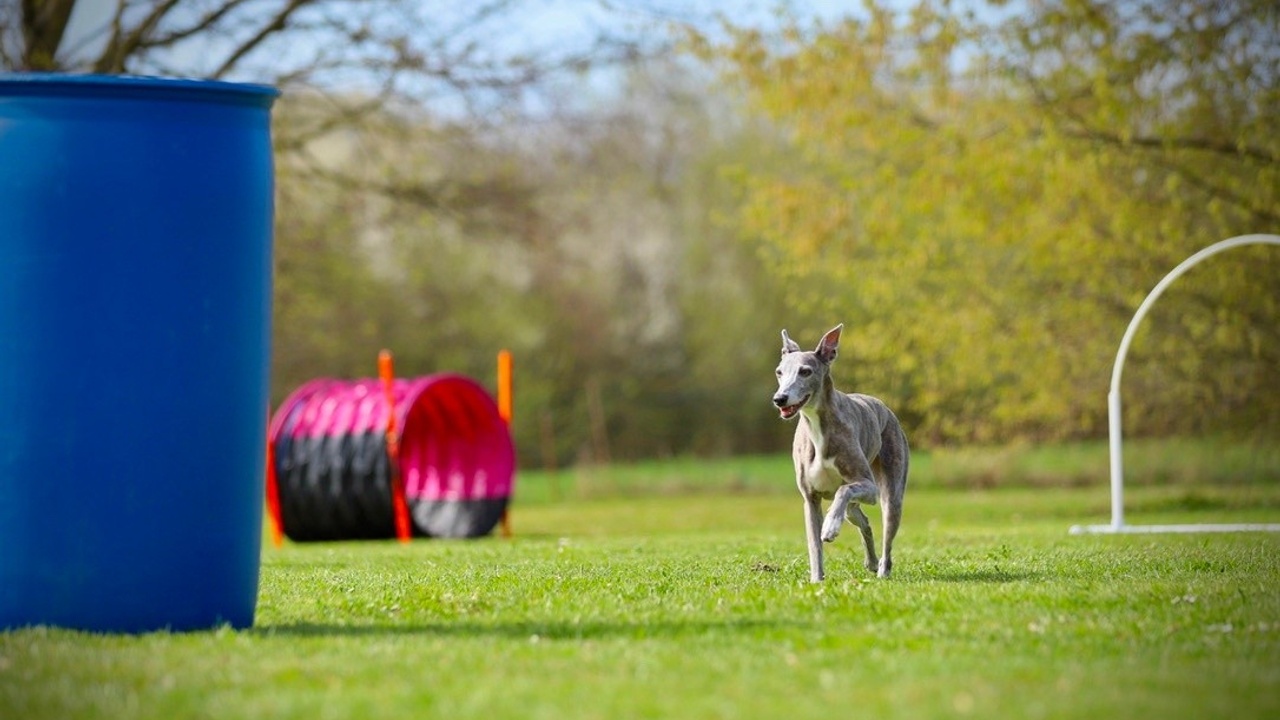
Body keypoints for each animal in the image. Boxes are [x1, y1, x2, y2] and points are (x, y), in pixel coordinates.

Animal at [772, 324, 909, 581]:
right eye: (779, 372)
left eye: (805, 371)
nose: (779, 399)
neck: (817, 428)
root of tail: (884, 407)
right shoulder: (810, 499)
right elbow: (814, 545)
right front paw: (816, 579)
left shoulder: (868, 486)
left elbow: (843, 490)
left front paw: (830, 526)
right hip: (854, 509)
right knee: (863, 520)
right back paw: (871, 561)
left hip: (891, 491)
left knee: (885, 531)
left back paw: (882, 570)